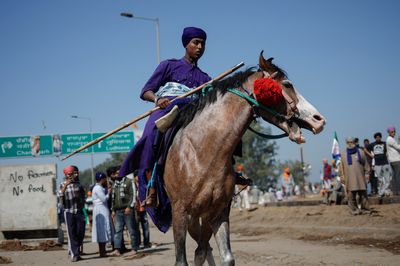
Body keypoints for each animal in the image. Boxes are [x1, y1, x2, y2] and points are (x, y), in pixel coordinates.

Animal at [162, 51, 324, 264]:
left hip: (202, 217)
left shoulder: (219, 211)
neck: (201, 155)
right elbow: (181, 260)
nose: (319, 120)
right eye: (288, 84)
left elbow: (226, 257)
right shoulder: (179, 213)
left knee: (202, 249)